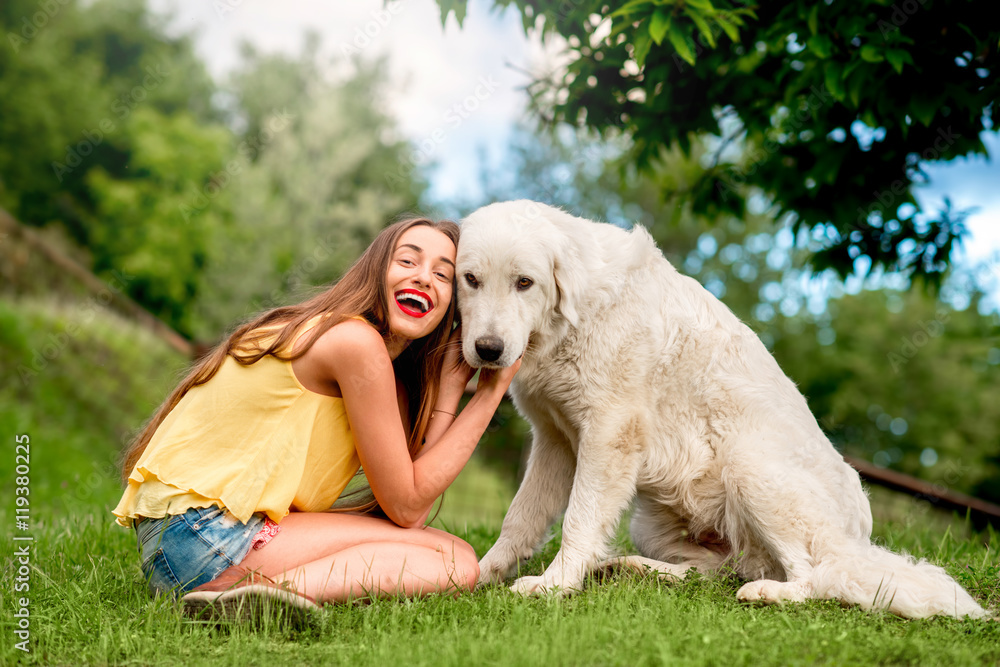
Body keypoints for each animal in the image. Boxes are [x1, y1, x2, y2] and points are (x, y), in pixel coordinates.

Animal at [458, 198, 988, 620]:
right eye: (471, 280)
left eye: (524, 282)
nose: (488, 349)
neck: (571, 320)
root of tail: (858, 537)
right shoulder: (555, 441)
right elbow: (519, 519)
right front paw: (479, 574)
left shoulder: (608, 434)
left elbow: (579, 520)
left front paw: (555, 585)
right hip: (652, 524)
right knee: (714, 573)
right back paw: (632, 570)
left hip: (749, 468)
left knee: (817, 575)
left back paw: (769, 593)